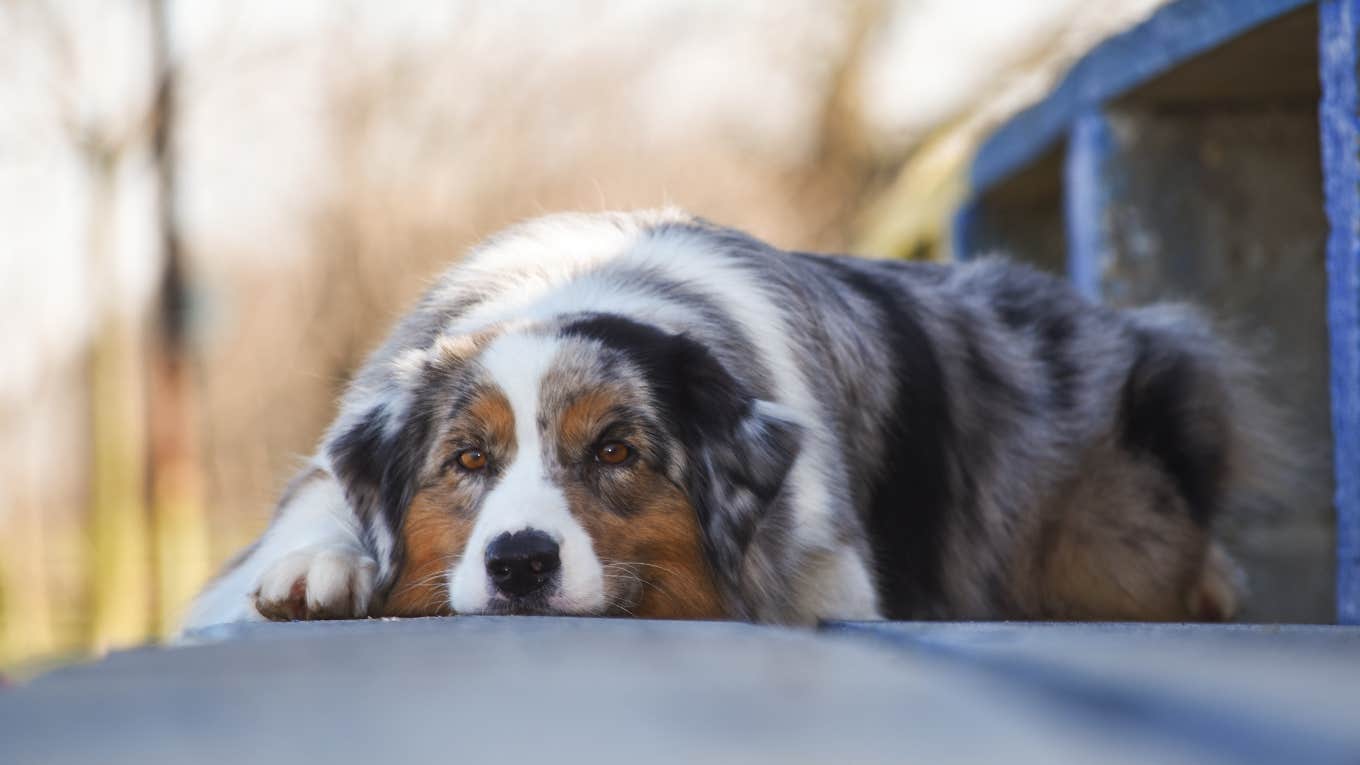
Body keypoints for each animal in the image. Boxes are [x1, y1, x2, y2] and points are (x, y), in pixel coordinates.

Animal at [178, 205, 1262, 628]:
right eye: (468, 459)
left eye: (617, 449)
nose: (520, 563)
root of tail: (1124, 327)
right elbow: (319, 509)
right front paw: (319, 565)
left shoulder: (831, 565)